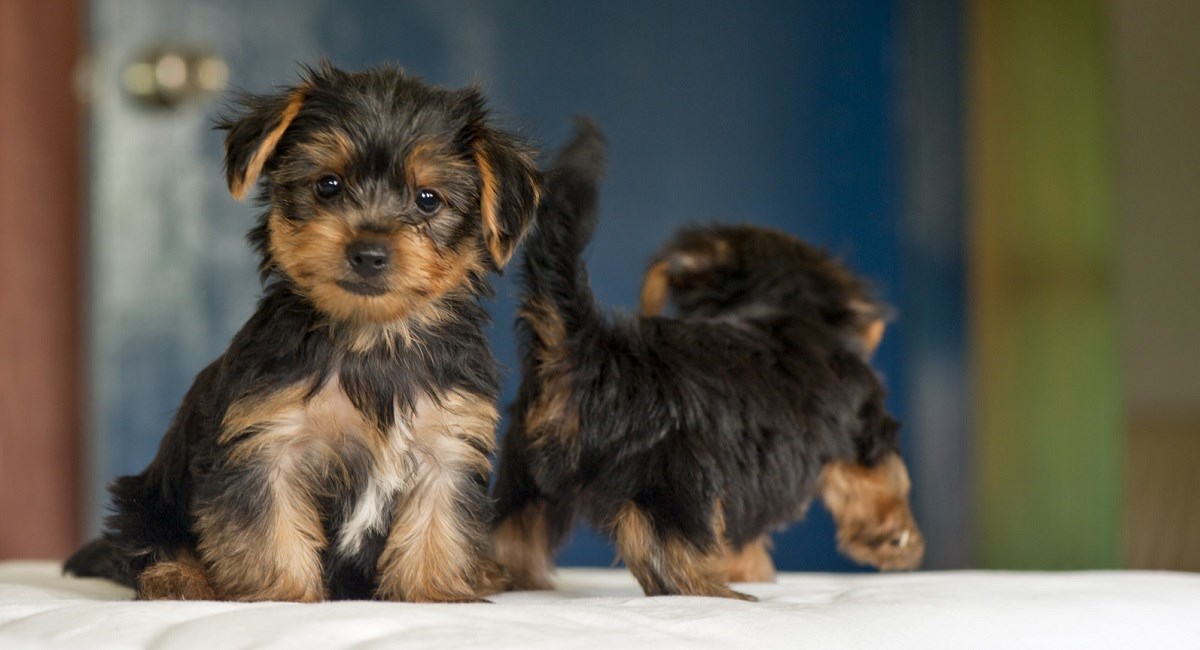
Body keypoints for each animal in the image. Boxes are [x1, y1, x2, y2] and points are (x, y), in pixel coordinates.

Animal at [60, 63, 540, 604]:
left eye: (427, 200)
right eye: (327, 185)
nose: (369, 252)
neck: (372, 338)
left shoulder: (447, 444)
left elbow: (438, 526)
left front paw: (433, 592)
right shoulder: (266, 442)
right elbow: (268, 528)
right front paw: (283, 594)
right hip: (145, 497)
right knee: (148, 541)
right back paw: (180, 579)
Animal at [492, 121, 921, 602]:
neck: (776, 304)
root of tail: (587, 343)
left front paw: (747, 566)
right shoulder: (864, 423)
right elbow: (883, 480)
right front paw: (897, 539)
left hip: (524, 476)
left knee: (511, 533)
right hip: (673, 479)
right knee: (666, 548)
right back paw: (716, 590)